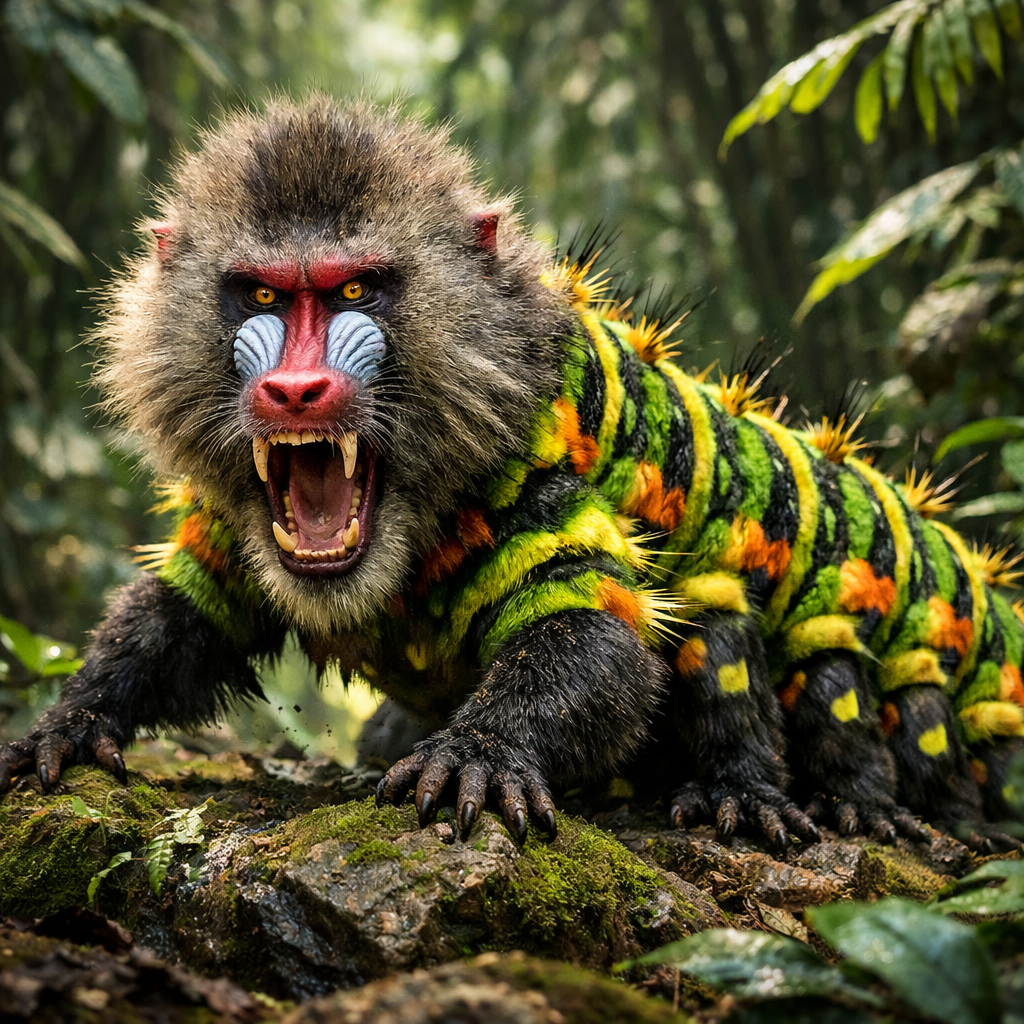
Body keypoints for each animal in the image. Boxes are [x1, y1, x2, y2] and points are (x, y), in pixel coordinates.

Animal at [1, 96, 1021, 852]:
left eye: (354, 289)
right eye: (262, 294)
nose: (294, 390)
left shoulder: (530, 478)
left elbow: (602, 636)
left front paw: (481, 750)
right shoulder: (234, 519)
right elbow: (181, 613)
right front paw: (69, 722)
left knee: (770, 633)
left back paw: (815, 798)